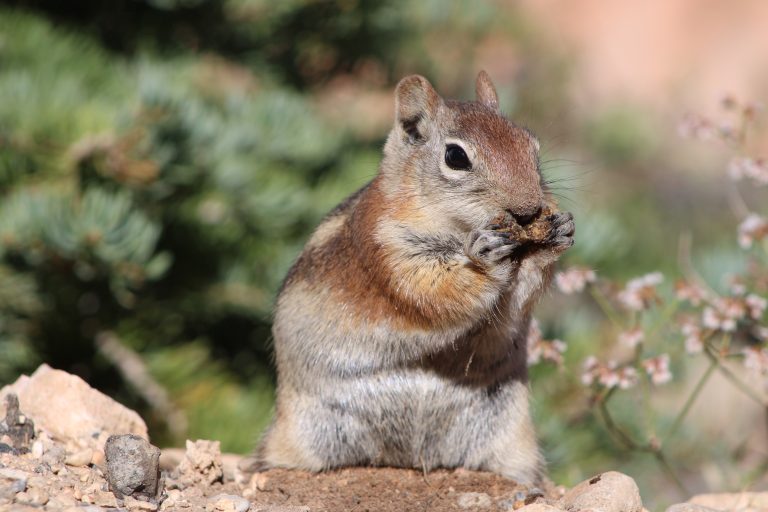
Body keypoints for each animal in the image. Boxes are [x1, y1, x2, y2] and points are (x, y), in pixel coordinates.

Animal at [255, 71, 572, 484]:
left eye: (531, 145)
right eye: (455, 157)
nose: (528, 210)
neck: (458, 230)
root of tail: (408, 459)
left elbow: (518, 301)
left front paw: (558, 233)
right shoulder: (389, 249)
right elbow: (431, 291)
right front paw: (486, 260)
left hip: (509, 434)